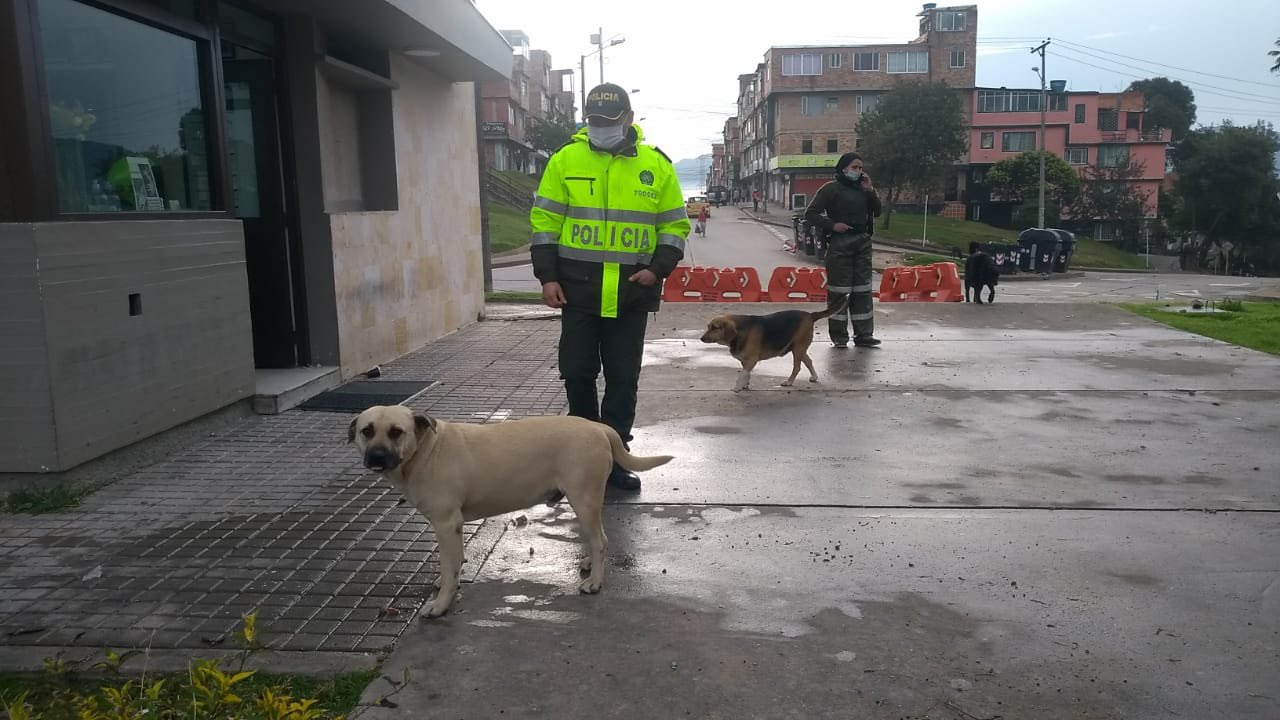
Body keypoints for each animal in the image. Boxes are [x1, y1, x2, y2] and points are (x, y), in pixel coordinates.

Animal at [345, 404, 675, 617]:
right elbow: (454, 561)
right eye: (367, 431)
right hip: (586, 500)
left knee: (601, 540)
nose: (376, 456)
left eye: (396, 432)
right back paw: (590, 563)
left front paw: (441, 604)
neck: (425, 450)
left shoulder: (446, 524)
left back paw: (594, 581)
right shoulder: (453, 527)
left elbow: (449, 566)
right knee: (596, 538)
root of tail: (597, 426)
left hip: (583, 497)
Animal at [701, 297, 849, 392]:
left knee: (797, 368)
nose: (702, 338)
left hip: (798, 349)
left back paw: (789, 382)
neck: (740, 330)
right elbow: (746, 374)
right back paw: (814, 376)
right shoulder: (745, 361)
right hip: (798, 348)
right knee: (809, 361)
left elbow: (742, 374)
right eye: (708, 326)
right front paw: (745, 385)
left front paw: (737, 388)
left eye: (715, 327)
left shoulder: (751, 360)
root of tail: (810, 315)